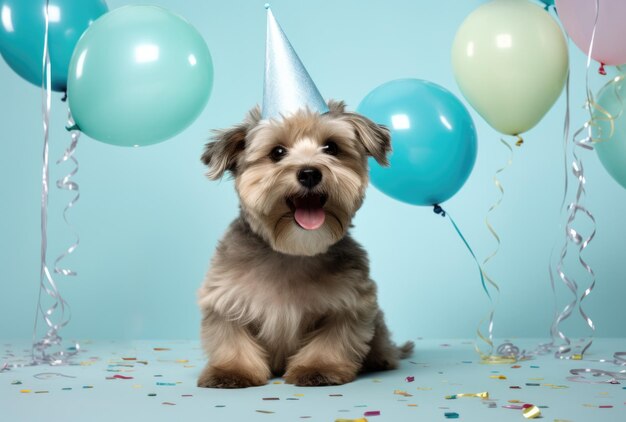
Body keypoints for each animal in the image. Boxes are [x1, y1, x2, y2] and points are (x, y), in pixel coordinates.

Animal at [197, 99, 412, 390]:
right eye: (277, 152)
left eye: (331, 148)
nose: (309, 172)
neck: (293, 251)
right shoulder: (225, 298)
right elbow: (231, 338)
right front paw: (231, 371)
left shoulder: (349, 304)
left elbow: (331, 341)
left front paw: (319, 368)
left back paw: (381, 358)